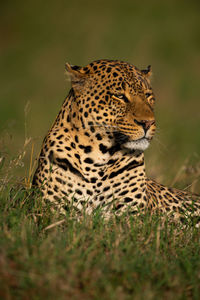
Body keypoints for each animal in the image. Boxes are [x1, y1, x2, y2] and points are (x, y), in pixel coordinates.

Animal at [32, 58, 200, 223]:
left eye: (148, 96)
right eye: (119, 96)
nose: (148, 123)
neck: (96, 158)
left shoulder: (130, 215)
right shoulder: (52, 211)